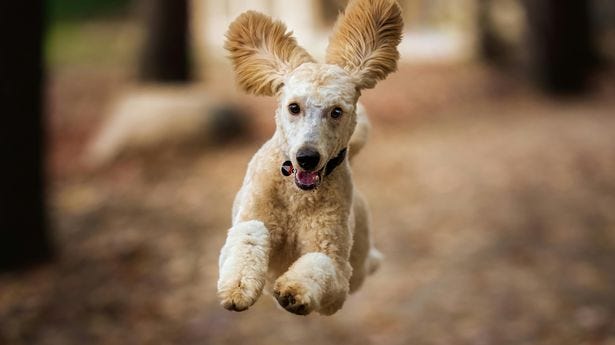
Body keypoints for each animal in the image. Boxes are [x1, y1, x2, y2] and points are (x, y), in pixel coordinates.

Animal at [217, 0, 404, 314]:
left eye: (336, 111)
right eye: (294, 107)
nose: (307, 157)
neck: (297, 197)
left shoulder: (338, 277)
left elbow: (320, 264)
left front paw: (293, 291)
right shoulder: (247, 221)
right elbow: (250, 234)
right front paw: (238, 288)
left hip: (359, 263)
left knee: (365, 265)